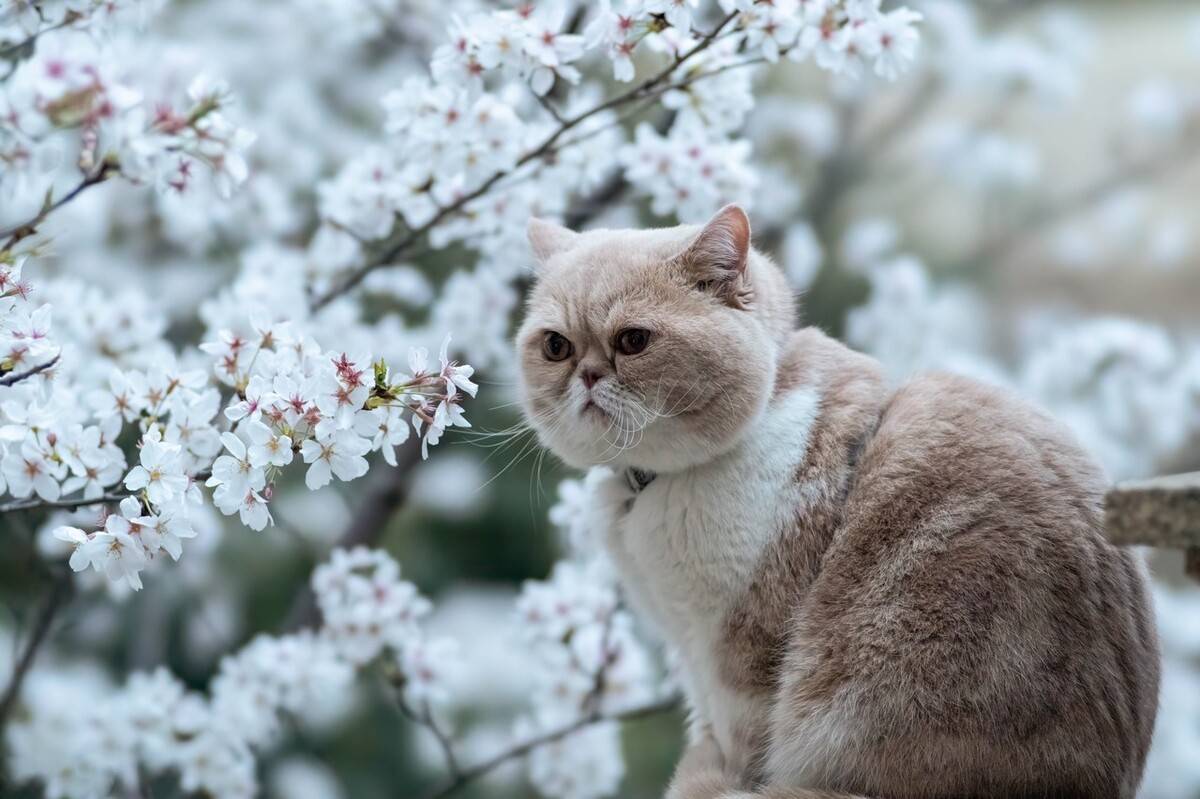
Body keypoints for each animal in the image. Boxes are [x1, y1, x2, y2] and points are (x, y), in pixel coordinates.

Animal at [516, 205, 1161, 796]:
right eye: (556, 347)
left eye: (633, 341)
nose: (588, 376)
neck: (651, 489)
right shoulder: (691, 657)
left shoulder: (742, 656)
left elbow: (740, 755)